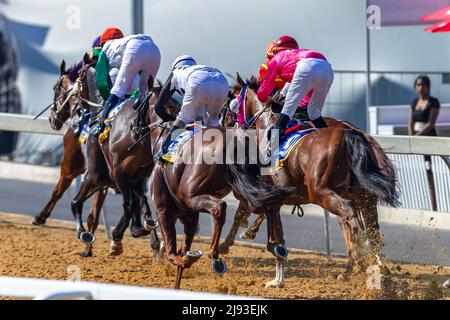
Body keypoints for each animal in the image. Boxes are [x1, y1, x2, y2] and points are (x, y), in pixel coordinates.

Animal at [220, 75, 400, 288]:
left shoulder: (268, 196)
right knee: (371, 229)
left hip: (321, 193)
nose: (224, 125)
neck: (267, 124)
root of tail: (351, 133)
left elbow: (260, 224)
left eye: (230, 103)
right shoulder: (275, 199)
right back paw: (369, 268)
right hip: (363, 196)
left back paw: (359, 261)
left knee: (351, 217)